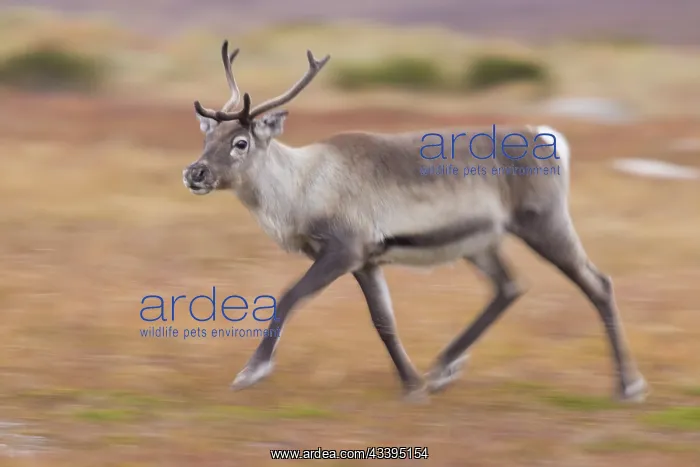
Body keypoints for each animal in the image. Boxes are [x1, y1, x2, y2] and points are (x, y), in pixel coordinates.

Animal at [182, 40, 647, 402]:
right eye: (208, 136)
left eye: (241, 142)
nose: (195, 173)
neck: (301, 187)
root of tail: (549, 137)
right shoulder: (367, 261)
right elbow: (384, 322)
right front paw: (412, 383)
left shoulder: (343, 249)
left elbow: (289, 296)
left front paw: (252, 370)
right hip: (482, 242)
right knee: (509, 287)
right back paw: (442, 369)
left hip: (543, 223)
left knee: (597, 284)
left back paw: (629, 385)